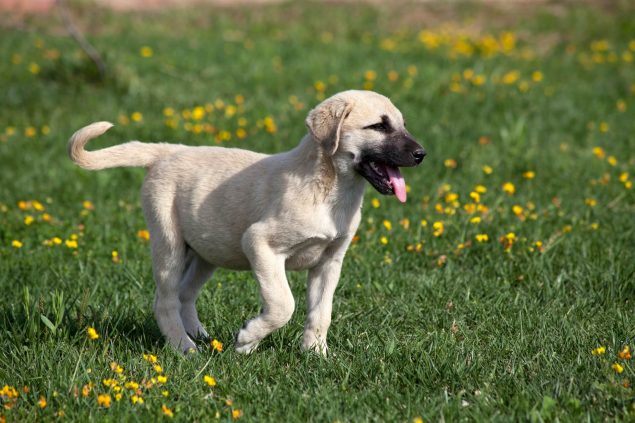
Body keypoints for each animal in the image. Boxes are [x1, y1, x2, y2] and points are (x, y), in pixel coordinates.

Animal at [68, 90, 428, 354]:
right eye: (379, 126)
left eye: (401, 124)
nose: (421, 154)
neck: (330, 190)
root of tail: (168, 152)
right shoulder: (260, 243)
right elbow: (283, 304)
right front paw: (247, 340)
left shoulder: (330, 262)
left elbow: (320, 312)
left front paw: (315, 354)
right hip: (168, 244)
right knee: (165, 300)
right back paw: (184, 348)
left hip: (206, 251)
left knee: (185, 293)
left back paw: (199, 335)